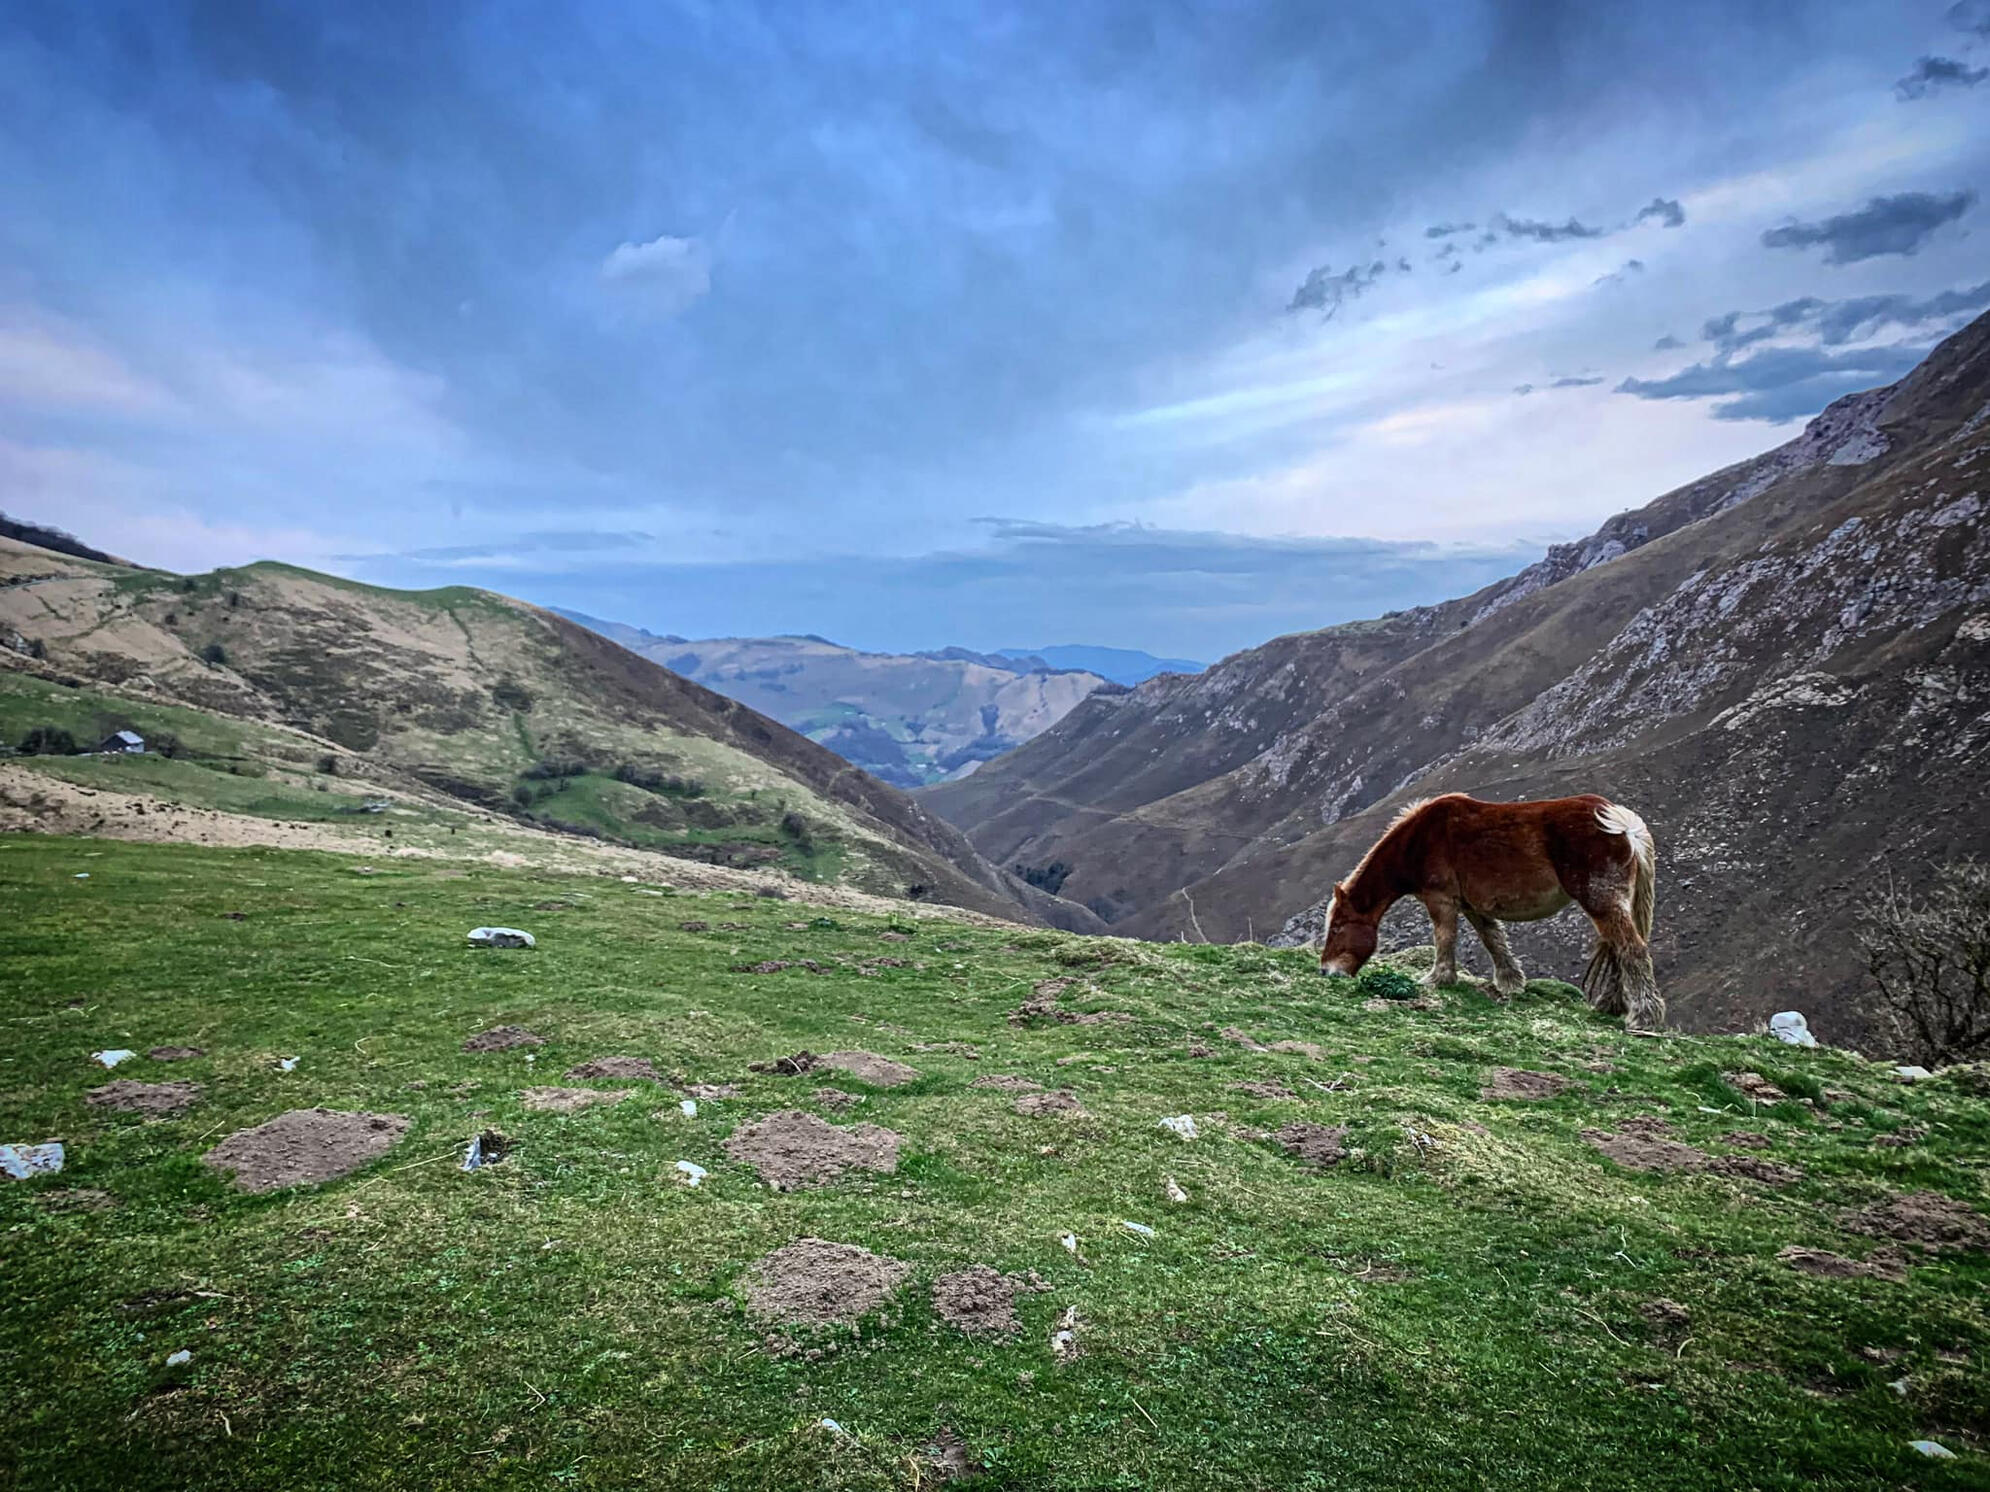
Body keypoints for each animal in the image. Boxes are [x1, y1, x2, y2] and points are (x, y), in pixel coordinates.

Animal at [1316, 792, 1662, 1032]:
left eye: (1337, 927)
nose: (1326, 971)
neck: (1419, 840)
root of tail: (1623, 826)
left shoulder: (1441, 900)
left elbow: (1445, 938)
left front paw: (1437, 979)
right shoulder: (1472, 905)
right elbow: (1493, 939)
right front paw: (1510, 982)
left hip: (1601, 901)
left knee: (1631, 948)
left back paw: (1643, 1017)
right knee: (1619, 949)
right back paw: (1610, 1006)